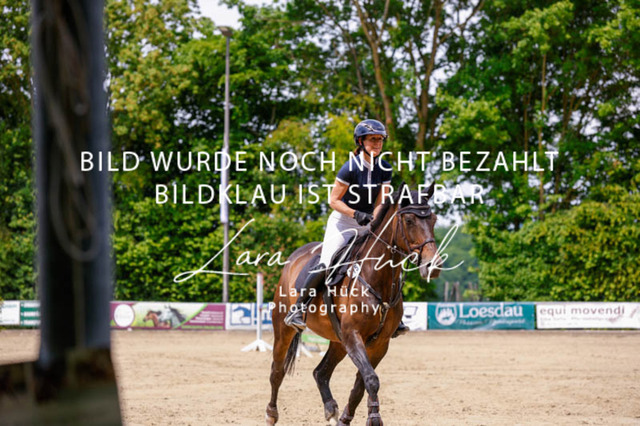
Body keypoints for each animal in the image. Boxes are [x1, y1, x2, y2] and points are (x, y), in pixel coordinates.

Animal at [266, 183, 442, 425]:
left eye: (433, 219)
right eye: (409, 221)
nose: (433, 266)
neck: (376, 276)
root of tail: (293, 259)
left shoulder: (379, 343)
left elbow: (362, 383)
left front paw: (346, 418)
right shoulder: (353, 335)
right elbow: (371, 379)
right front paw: (374, 418)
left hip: (338, 340)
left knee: (321, 373)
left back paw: (331, 410)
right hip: (284, 329)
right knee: (277, 371)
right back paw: (271, 414)